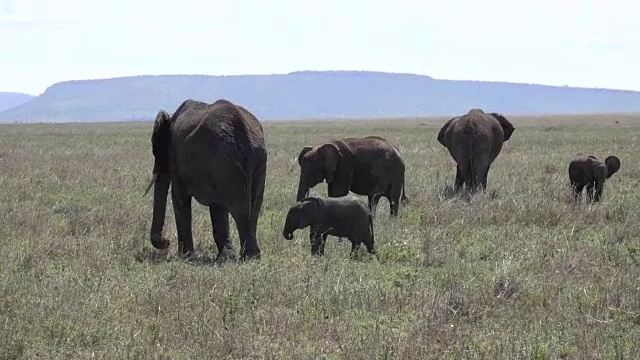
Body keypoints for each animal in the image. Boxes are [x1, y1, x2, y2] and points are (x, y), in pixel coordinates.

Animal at [145, 98, 268, 262]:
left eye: (155, 150)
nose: (166, 241)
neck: (170, 119)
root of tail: (246, 135)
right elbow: (217, 207)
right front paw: (226, 257)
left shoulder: (176, 159)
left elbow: (179, 199)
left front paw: (186, 257)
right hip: (254, 160)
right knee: (253, 207)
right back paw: (251, 257)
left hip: (225, 163)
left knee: (240, 210)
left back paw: (247, 257)